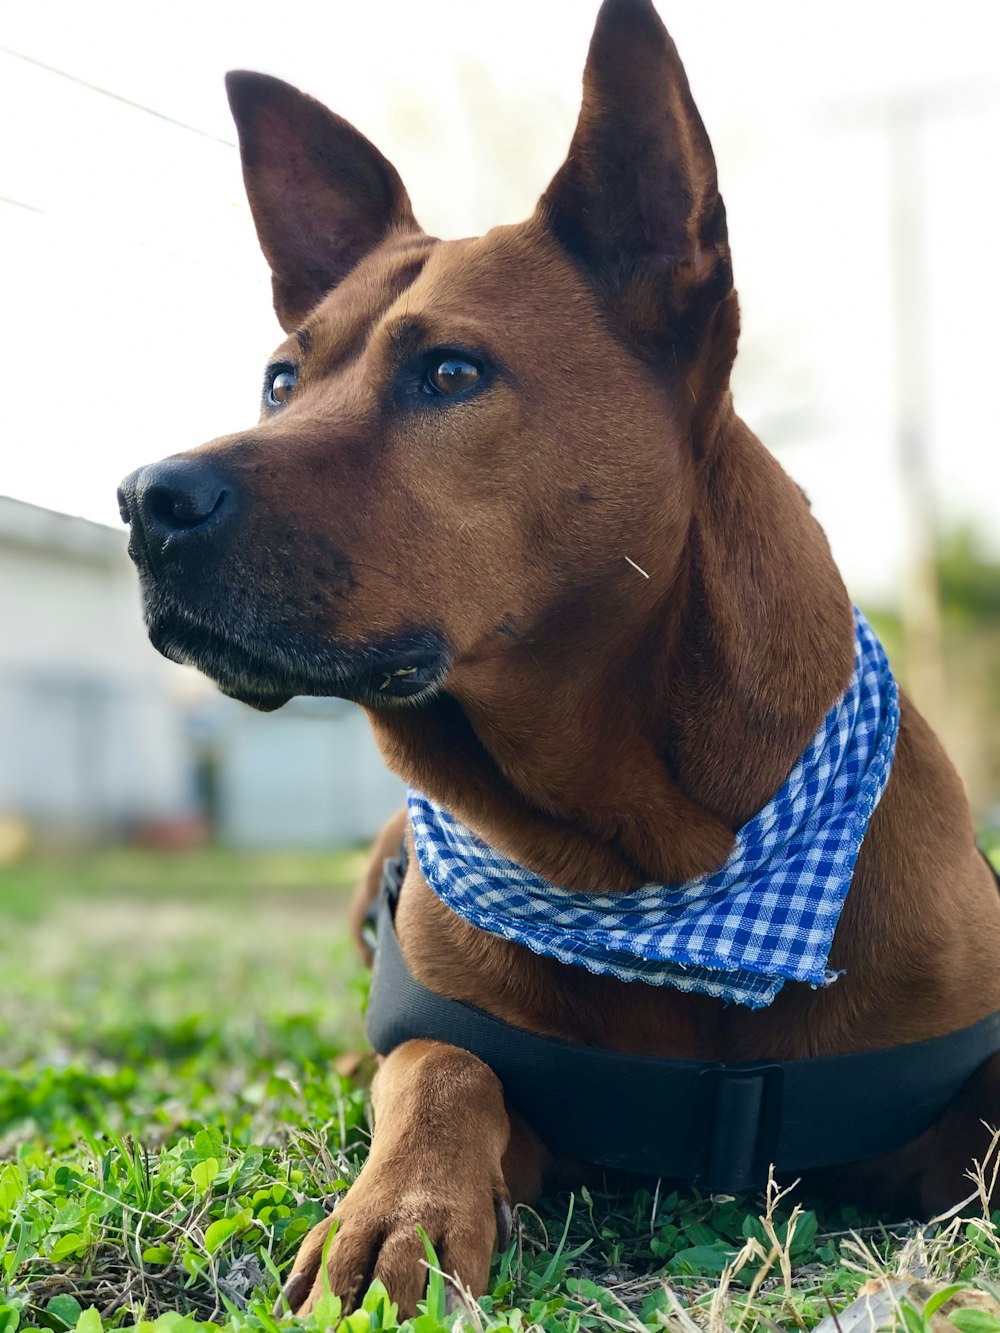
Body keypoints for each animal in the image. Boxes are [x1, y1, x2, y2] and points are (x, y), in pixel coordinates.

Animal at [119, 0, 1000, 1317]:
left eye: (450, 372)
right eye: (279, 379)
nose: (143, 501)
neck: (665, 875)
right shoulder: (475, 1051)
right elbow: (437, 1064)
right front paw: (397, 1210)